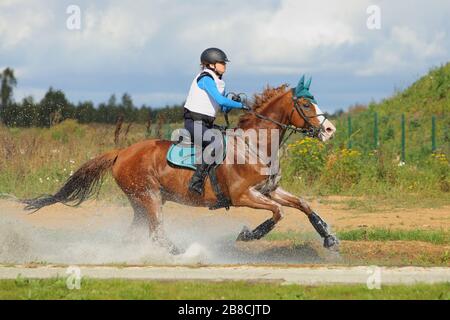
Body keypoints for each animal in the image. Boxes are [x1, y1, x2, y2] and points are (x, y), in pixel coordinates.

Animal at [21, 76, 338, 254]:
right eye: (305, 105)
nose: (330, 130)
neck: (255, 146)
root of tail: (121, 152)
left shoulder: (269, 190)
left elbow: (303, 205)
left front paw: (329, 238)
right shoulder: (243, 196)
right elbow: (278, 213)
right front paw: (249, 235)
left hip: (142, 201)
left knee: (138, 232)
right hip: (148, 197)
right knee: (157, 232)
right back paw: (184, 252)